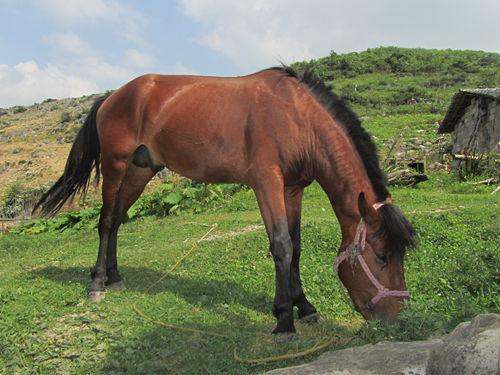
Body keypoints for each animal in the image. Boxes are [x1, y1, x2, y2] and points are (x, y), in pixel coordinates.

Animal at [35, 66, 416, 336]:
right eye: (382, 256)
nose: (398, 317)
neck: (296, 117)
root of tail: (113, 96)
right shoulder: (267, 184)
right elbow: (281, 245)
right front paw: (284, 319)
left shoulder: (293, 189)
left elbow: (296, 246)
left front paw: (304, 307)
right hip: (115, 166)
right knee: (104, 222)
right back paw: (98, 283)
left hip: (139, 172)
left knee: (115, 221)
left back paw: (114, 278)